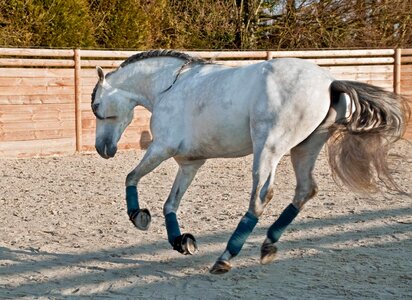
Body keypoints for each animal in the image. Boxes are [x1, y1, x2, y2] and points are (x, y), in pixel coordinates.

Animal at [91, 49, 408, 274]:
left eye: (95, 106)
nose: (103, 149)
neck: (169, 86)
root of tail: (330, 82)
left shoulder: (161, 148)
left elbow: (131, 177)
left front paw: (139, 217)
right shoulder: (190, 163)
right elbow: (170, 204)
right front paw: (181, 242)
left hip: (268, 148)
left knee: (260, 197)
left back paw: (226, 257)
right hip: (304, 148)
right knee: (305, 190)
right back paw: (268, 245)